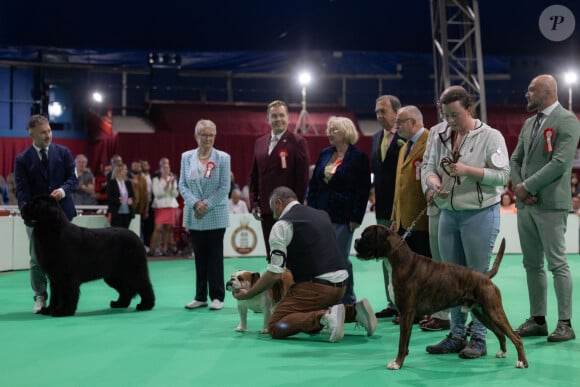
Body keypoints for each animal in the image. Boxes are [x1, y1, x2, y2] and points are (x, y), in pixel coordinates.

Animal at [21, 196, 155, 316]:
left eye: (35, 204)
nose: (22, 206)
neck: (53, 231)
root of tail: (137, 237)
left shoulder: (66, 276)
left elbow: (67, 294)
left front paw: (63, 311)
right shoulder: (54, 278)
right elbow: (55, 296)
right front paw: (49, 310)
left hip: (133, 270)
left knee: (144, 285)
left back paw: (145, 305)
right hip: (114, 275)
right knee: (126, 290)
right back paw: (119, 303)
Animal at [352, 226, 528, 372]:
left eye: (365, 236)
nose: (355, 241)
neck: (398, 260)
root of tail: (485, 277)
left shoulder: (406, 313)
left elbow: (402, 342)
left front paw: (397, 363)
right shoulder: (406, 315)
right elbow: (406, 341)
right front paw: (401, 361)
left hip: (494, 311)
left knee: (516, 337)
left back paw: (522, 362)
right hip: (482, 313)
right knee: (500, 333)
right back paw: (502, 352)